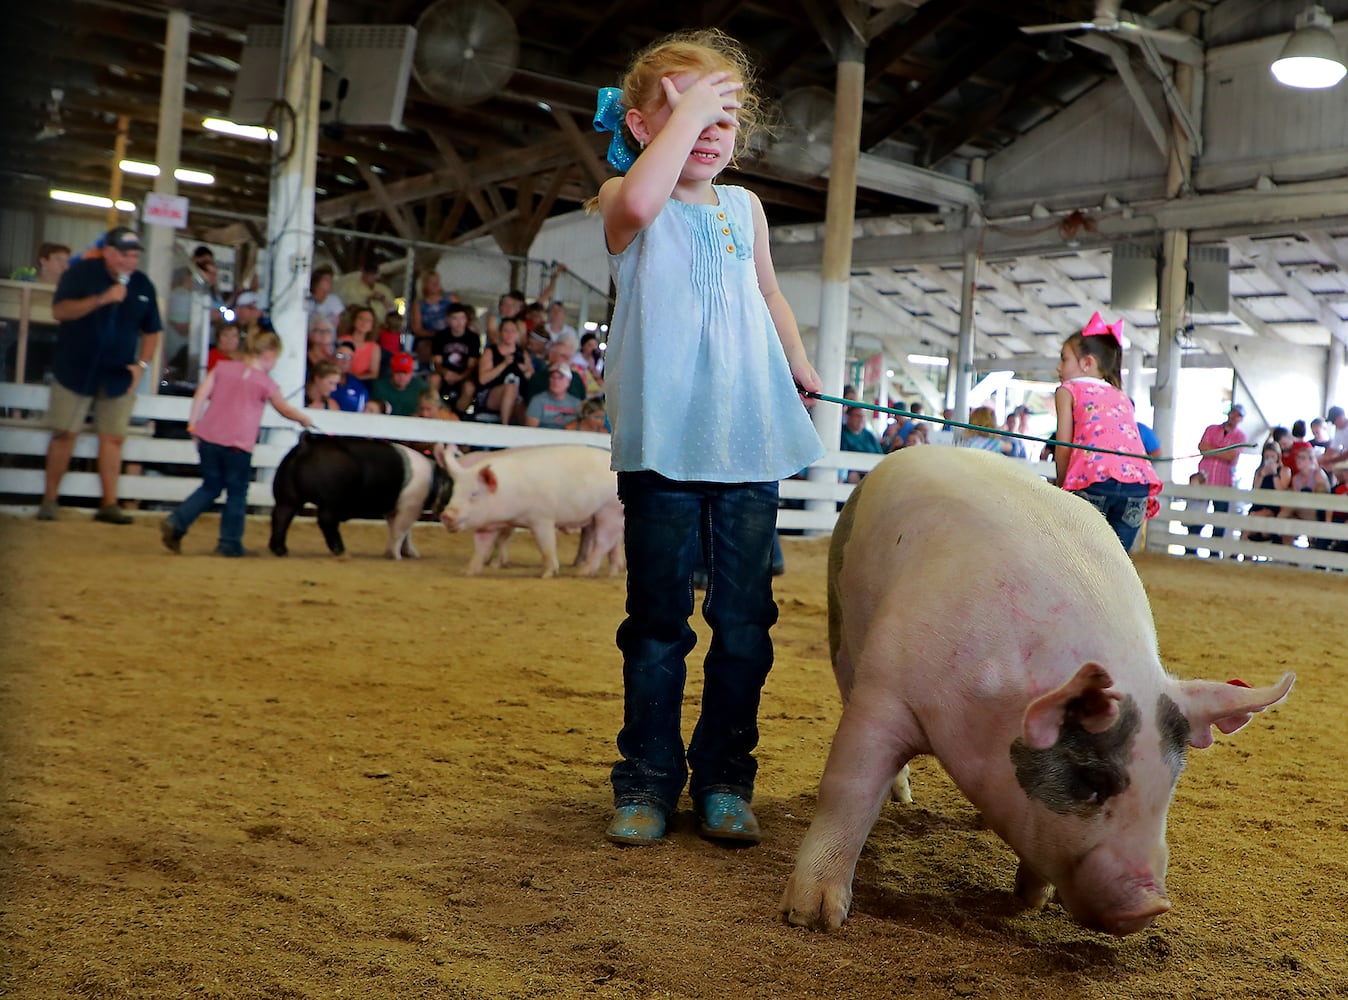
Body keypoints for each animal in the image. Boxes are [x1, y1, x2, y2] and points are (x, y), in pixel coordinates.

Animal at [266, 433, 452, 560]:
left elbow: (402, 531)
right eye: (452, 484)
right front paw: (397, 556)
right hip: (332, 498)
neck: (433, 478)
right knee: (325, 520)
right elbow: (402, 530)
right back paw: (341, 551)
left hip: (287, 494)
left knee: (281, 516)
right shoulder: (409, 507)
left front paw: (411, 554)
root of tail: (306, 444)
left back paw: (281, 551)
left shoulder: (395, 510)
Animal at [431, 447, 625, 579]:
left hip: (609, 510)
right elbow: (481, 546)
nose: (446, 515)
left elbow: (546, 545)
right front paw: (466, 572)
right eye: (455, 491)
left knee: (603, 542)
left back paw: (581, 572)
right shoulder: (488, 524)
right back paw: (611, 573)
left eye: (474, 493)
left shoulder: (542, 518)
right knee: (613, 542)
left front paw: (547, 574)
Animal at [781, 452, 1294, 938]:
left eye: (1168, 787)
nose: (1152, 905)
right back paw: (901, 799)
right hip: (843, 631)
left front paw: (1032, 901)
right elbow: (847, 790)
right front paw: (812, 919)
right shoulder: (886, 690)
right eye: (1090, 782)